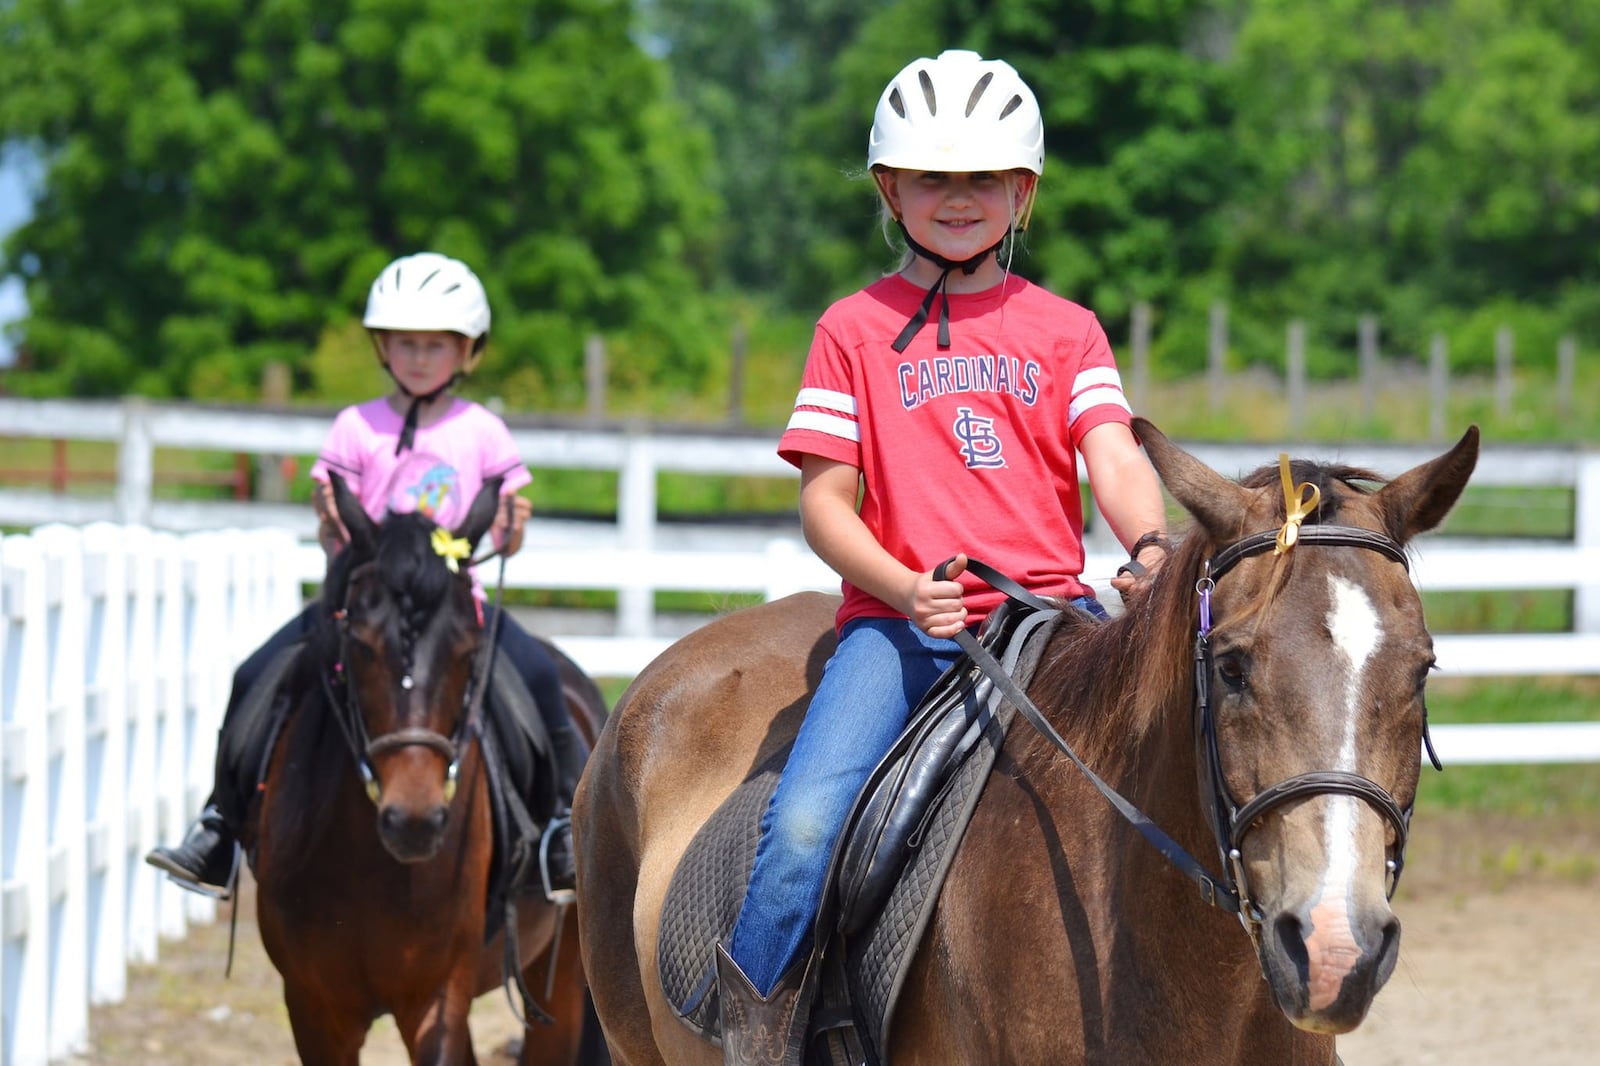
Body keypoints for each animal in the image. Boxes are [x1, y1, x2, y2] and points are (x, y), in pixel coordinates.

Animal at [249, 473, 611, 1062]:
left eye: (467, 650)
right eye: (360, 644)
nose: (414, 821)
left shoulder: (435, 999)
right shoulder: (313, 1009)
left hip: (561, 974)